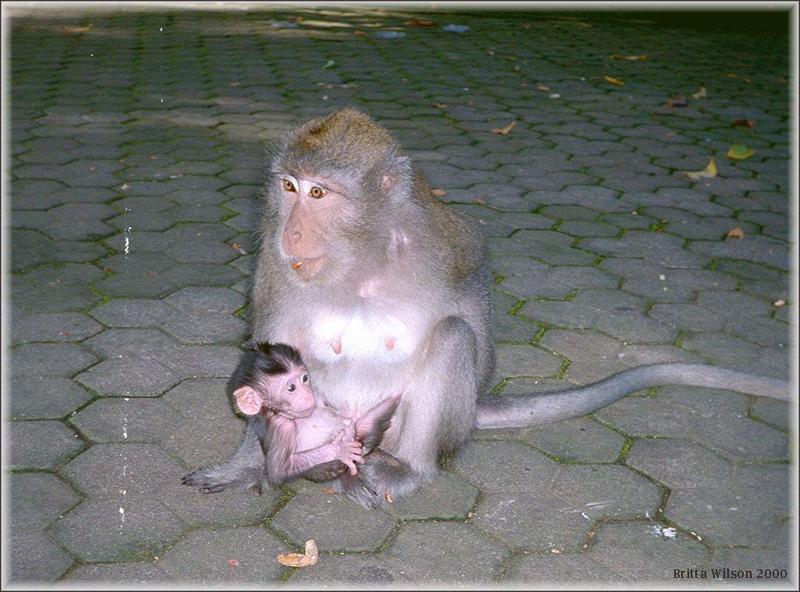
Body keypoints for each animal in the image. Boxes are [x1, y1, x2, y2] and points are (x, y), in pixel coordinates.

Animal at [227, 340, 400, 488]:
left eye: (305, 378)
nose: (307, 395)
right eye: (291, 388)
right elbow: (279, 472)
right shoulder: (280, 426)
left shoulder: (317, 395)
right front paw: (339, 450)